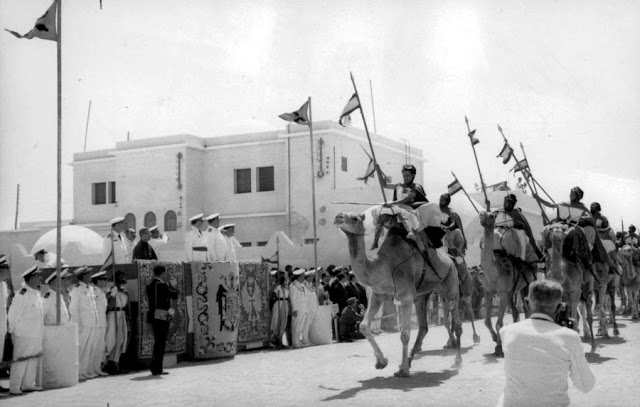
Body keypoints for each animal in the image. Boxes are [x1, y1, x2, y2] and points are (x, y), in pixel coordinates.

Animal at [332, 212, 462, 378]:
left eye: (355, 218)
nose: (338, 216)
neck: (385, 265)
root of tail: (450, 260)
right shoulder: (378, 294)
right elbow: (363, 326)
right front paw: (382, 362)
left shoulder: (405, 296)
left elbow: (404, 334)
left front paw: (403, 370)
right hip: (422, 296)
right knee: (423, 327)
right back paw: (408, 361)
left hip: (451, 283)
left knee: (456, 323)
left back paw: (457, 361)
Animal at [478, 212, 536, 358]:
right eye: (483, 214)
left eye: (492, 216)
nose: (482, 215)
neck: (493, 272)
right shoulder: (488, 292)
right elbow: (487, 321)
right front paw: (495, 340)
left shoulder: (503, 293)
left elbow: (499, 323)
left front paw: (498, 348)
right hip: (512, 291)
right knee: (516, 312)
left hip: (527, 284)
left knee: (527, 308)